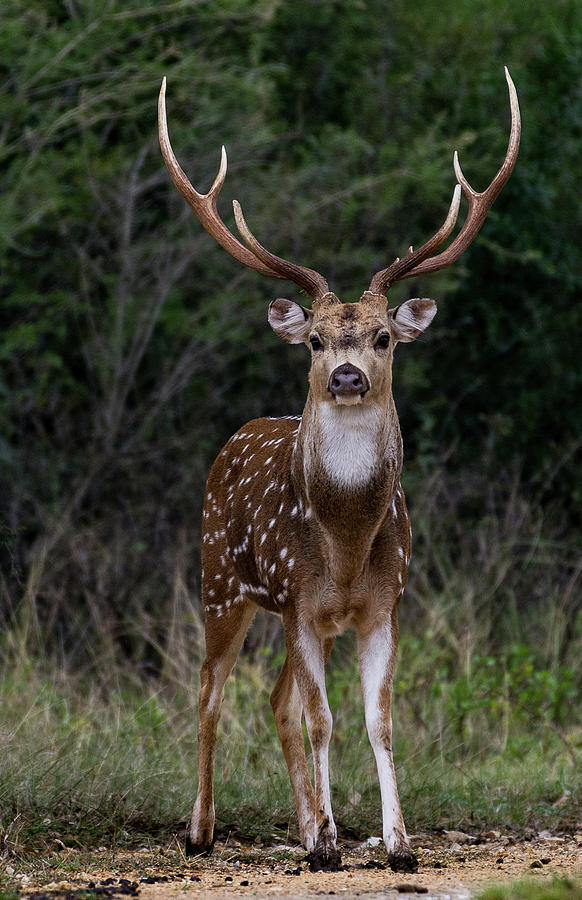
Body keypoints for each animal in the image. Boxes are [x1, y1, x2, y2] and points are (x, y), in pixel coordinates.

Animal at [159, 68, 520, 872]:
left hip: (298, 619)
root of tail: (237, 437)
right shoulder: (298, 600)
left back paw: (299, 823)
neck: (347, 546)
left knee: (275, 701)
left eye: (384, 336)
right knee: (211, 693)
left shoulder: (383, 604)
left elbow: (377, 718)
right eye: (316, 340)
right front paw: (329, 843)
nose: (348, 376)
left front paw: (395, 843)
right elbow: (324, 718)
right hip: (221, 581)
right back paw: (201, 829)